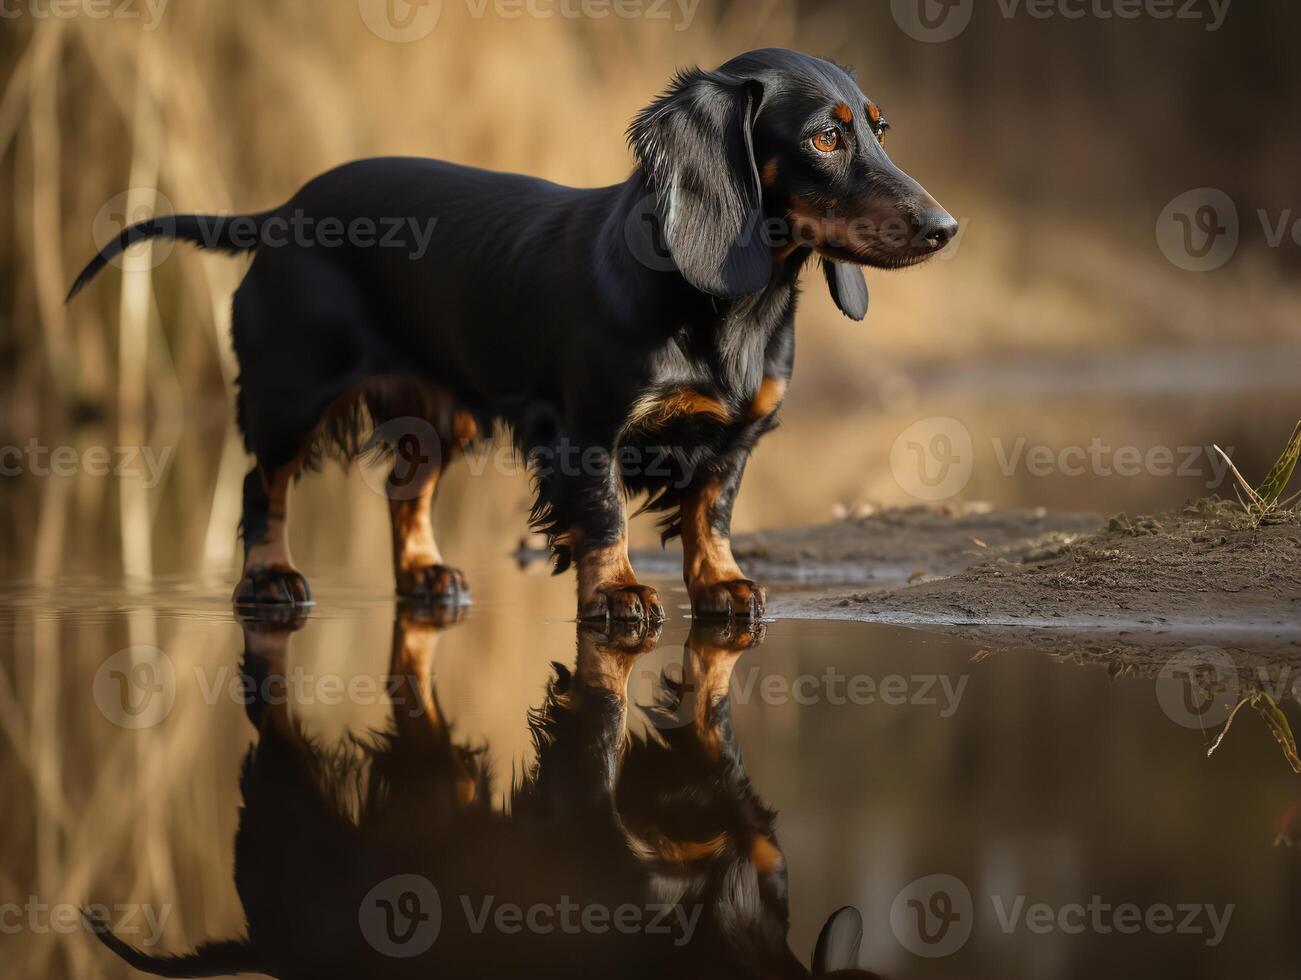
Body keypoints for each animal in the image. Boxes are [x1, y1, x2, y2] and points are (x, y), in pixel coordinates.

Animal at [68, 47, 957, 619]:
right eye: (824, 137)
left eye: (877, 128)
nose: (945, 228)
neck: (730, 309)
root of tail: (281, 211)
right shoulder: (585, 428)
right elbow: (603, 516)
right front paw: (617, 592)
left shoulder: (737, 435)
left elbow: (712, 513)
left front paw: (720, 586)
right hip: (292, 392)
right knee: (264, 487)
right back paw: (272, 580)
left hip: (441, 413)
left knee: (406, 490)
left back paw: (426, 574)